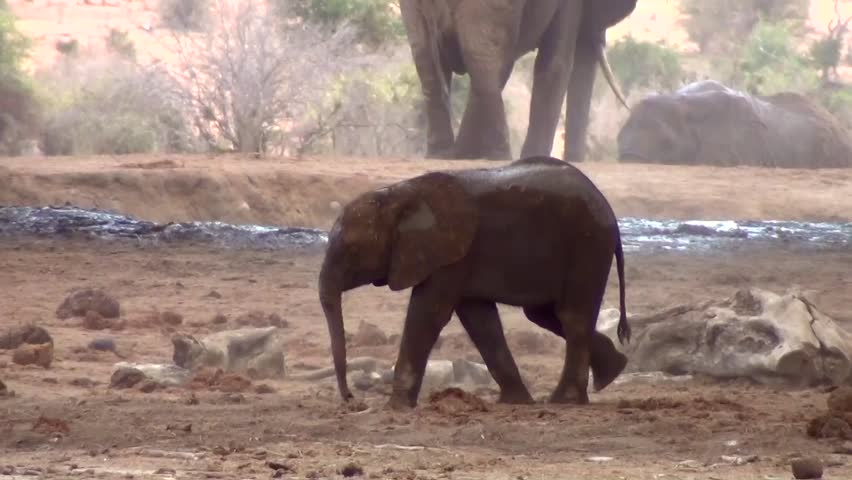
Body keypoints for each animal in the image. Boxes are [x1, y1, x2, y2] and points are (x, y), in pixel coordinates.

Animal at [318, 155, 630, 409]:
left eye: (352, 251)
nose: (352, 400)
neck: (398, 195)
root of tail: (609, 212)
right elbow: (479, 321)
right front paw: (515, 402)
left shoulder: (452, 254)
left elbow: (428, 314)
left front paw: (395, 408)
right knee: (545, 315)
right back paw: (612, 372)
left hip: (587, 245)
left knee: (571, 316)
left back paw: (565, 401)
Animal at [399, 0, 637, 162]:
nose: (575, 159)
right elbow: (556, 63)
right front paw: (536, 159)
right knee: (486, 60)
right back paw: (496, 156)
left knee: (428, 60)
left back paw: (447, 154)